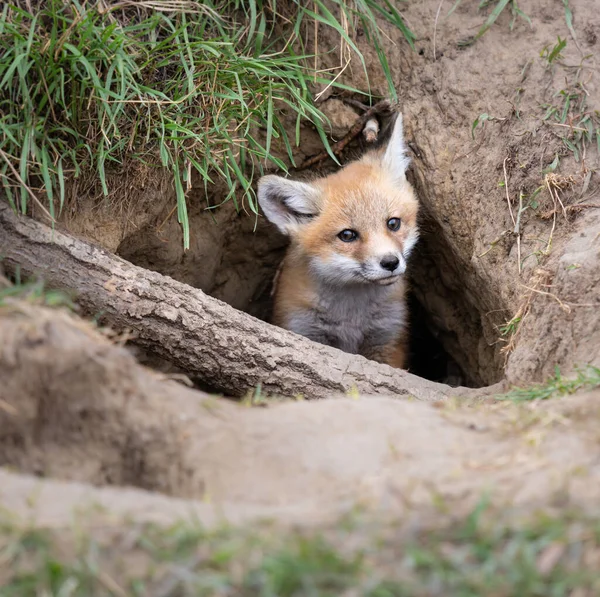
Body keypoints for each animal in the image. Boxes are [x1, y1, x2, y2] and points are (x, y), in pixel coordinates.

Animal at [256, 112, 418, 368]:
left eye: (393, 223)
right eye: (347, 235)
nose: (390, 263)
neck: (352, 316)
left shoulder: (387, 338)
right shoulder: (304, 328)